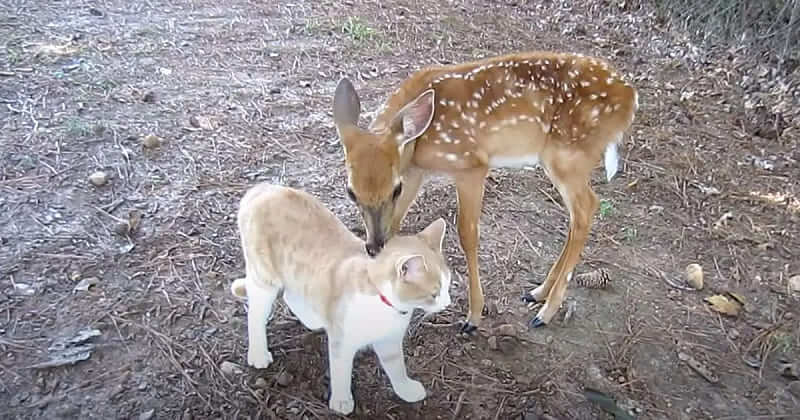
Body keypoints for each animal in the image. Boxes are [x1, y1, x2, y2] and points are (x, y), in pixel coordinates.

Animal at [231, 183, 454, 414]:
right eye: (434, 293)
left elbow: (397, 368)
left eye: (448, 285)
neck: (383, 303)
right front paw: (341, 400)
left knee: (291, 294)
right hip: (264, 280)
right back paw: (258, 354)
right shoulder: (342, 342)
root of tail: (264, 187)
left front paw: (405, 389)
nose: (447, 303)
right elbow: (341, 372)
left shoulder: (389, 342)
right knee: (255, 315)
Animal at [332, 50, 636, 334]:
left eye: (394, 188)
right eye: (351, 192)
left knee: (587, 209)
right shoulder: (416, 172)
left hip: (567, 156)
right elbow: (396, 226)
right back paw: (538, 292)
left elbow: (467, 234)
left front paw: (473, 316)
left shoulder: (470, 165)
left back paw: (546, 312)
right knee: (578, 216)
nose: (373, 246)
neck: (420, 137)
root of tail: (630, 98)